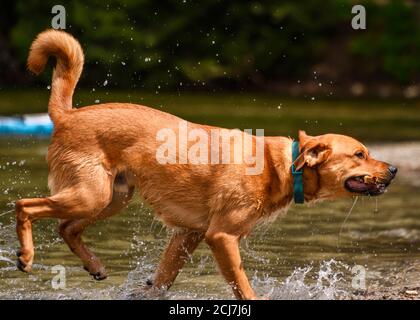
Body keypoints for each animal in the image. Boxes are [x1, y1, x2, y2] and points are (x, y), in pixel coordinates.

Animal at [15, 30, 398, 300]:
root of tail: (68, 115)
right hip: (91, 194)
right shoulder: (221, 236)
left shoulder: (189, 233)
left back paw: (93, 265)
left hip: (112, 197)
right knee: (25, 206)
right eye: (360, 154)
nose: (394, 170)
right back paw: (26, 257)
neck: (281, 167)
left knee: (66, 227)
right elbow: (242, 283)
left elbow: (163, 279)